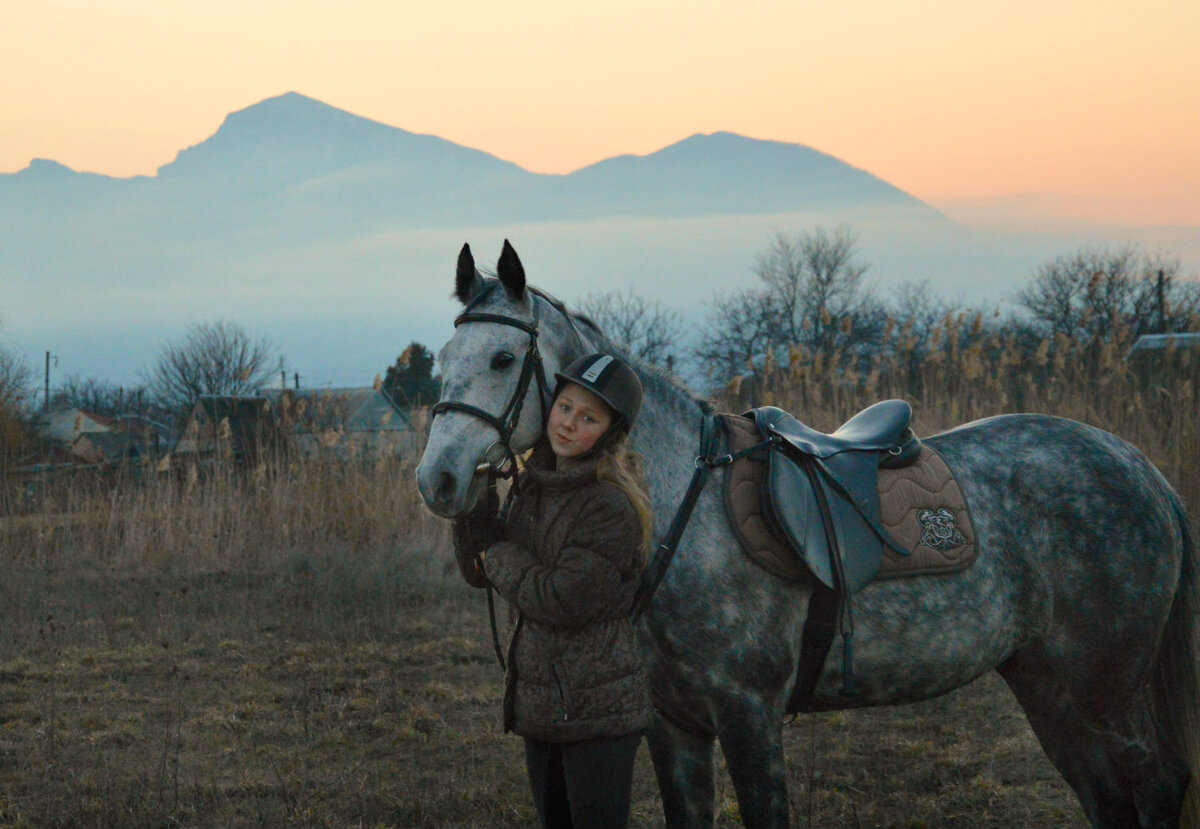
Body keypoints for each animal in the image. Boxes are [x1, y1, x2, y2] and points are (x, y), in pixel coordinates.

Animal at [415, 241, 1200, 829]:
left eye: (503, 360)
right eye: (444, 361)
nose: (439, 480)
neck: (678, 506)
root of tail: (1143, 472)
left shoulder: (750, 716)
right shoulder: (673, 726)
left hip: (1104, 687)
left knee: (1156, 786)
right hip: (1047, 681)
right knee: (1108, 797)